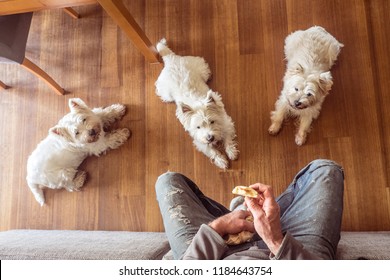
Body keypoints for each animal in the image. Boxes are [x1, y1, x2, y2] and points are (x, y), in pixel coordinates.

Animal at [155, 38, 238, 168]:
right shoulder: (199, 140)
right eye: (198, 127)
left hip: (202, 69)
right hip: (166, 94)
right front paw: (221, 161)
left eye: (212, 121)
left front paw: (231, 153)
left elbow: (228, 140)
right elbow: (212, 151)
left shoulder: (227, 124)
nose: (210, 138)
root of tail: (170, 58)